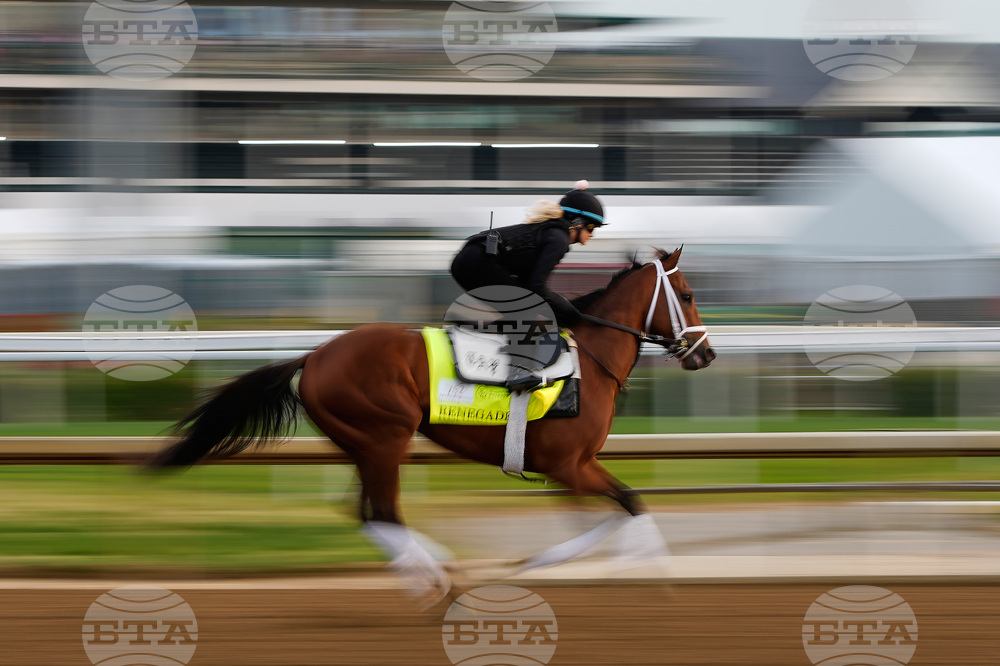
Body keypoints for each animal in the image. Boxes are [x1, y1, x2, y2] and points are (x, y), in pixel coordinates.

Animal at [150, 246, 715, 596]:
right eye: (688, 295)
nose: (706, 355)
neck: (589, 361)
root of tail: (314, 356)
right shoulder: (569, 465)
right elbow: (627, 506)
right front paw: (651, 576)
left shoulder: (567, 469)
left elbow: (617, 511)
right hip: (385, 437)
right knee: (385, 512)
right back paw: (439, 581)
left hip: (365, 443)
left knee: (367, 513)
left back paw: (436, 572)